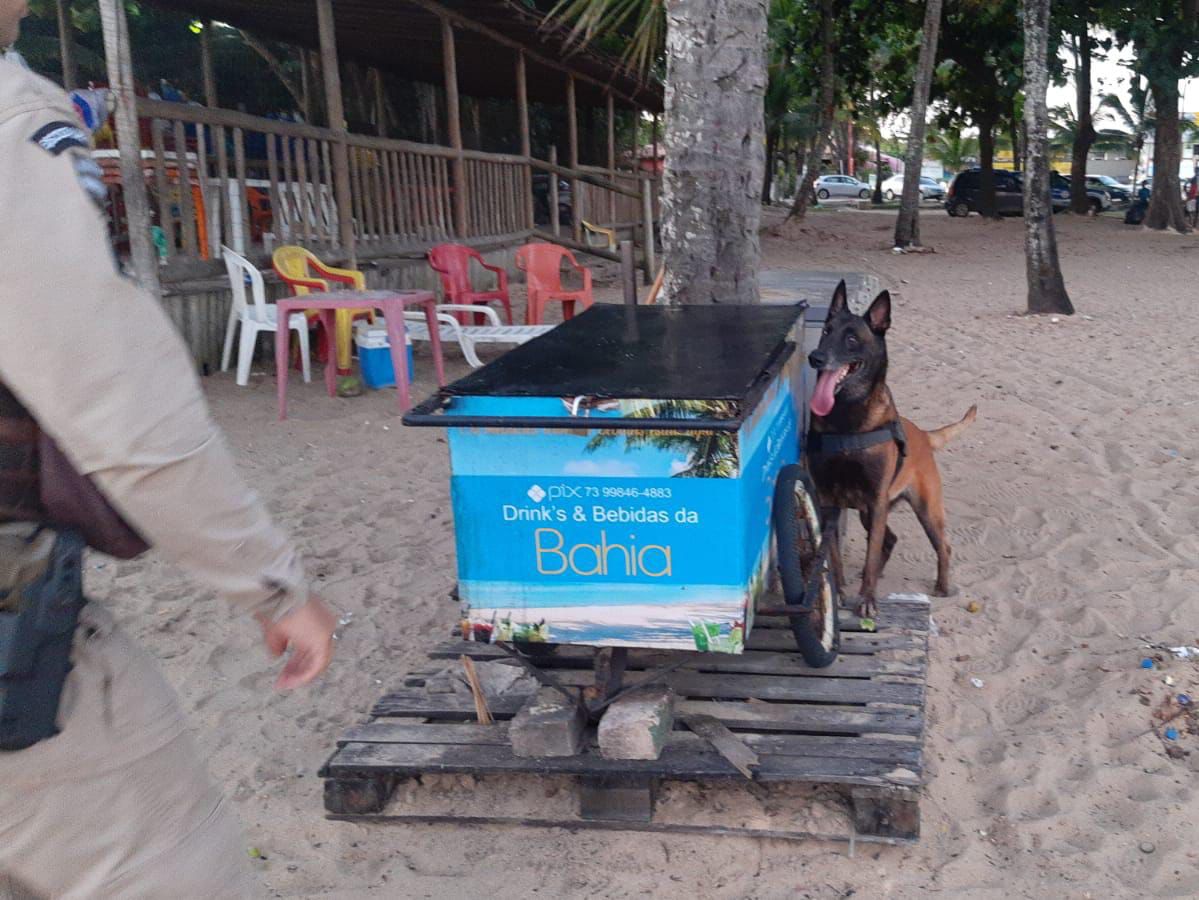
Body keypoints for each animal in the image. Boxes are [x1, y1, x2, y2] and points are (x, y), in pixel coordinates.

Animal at [805, 282, 973, 618]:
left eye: (851, 339)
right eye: (826, 331)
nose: (815, 357)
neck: (847, 421)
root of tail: (923, 434)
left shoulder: (876, 498)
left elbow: (870, 555)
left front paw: (867, 599)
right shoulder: (830, 501)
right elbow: (834, 553)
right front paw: (840, 592)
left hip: (924, 509)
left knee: (941, 545)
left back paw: (943, 586)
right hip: (868, 513)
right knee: (889, 540)